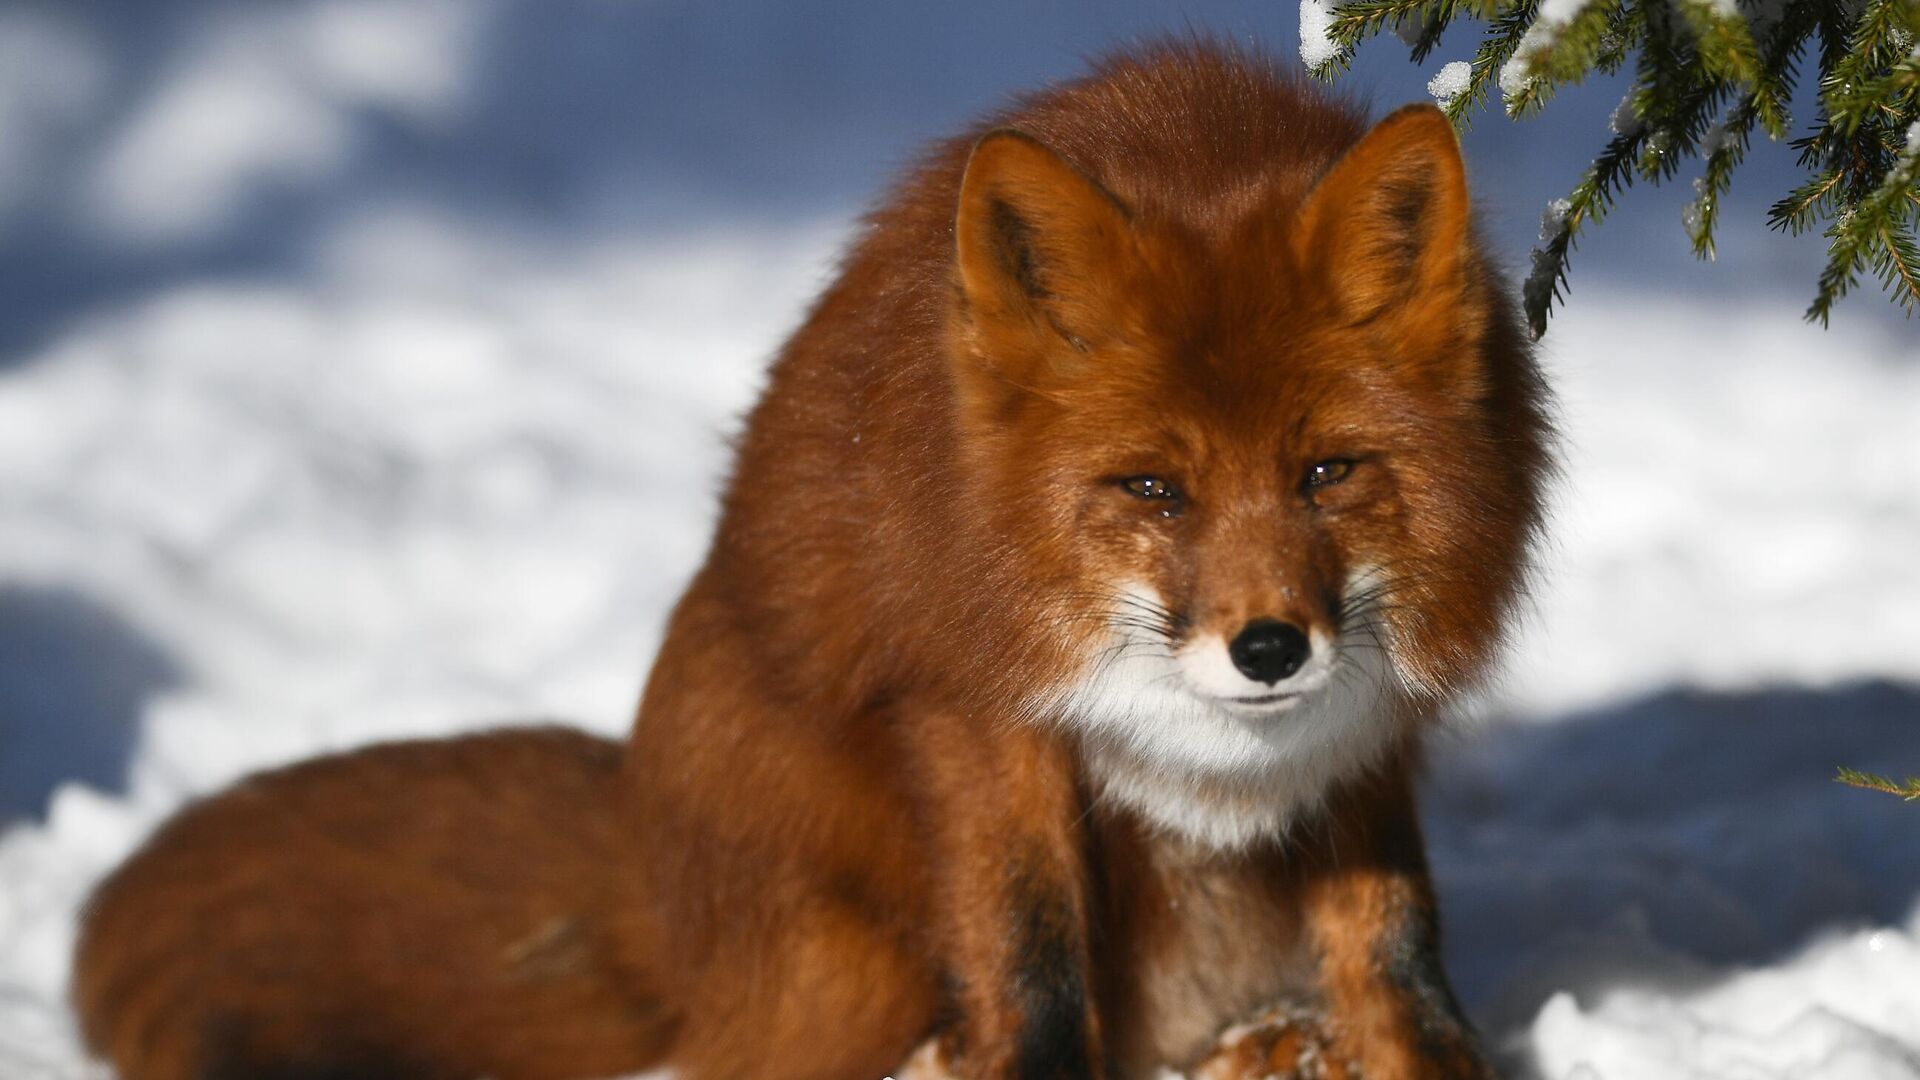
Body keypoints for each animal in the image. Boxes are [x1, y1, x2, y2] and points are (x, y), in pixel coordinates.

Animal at [71, 37, 1543, 1076]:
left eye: (1326, 474)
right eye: (1155, 490)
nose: (1270, 648)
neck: (1213, 764)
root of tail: (649, 875)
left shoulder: (1362, 734)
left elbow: (1395, 950)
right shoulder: (968, 711)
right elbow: (1033, 967)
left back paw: (1271, 1048)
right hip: (858, 930)